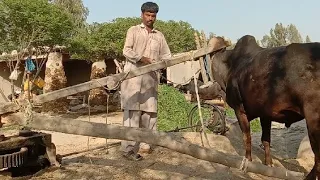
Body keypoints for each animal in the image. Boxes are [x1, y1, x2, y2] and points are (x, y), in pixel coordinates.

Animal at [210, 35, 320, 180]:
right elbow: (265, 140)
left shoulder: (239, 109)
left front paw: (248, 161)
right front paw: (269, 164)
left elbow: (247, 137)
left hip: (313, 120)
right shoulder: (265, 114)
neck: (230, 65)